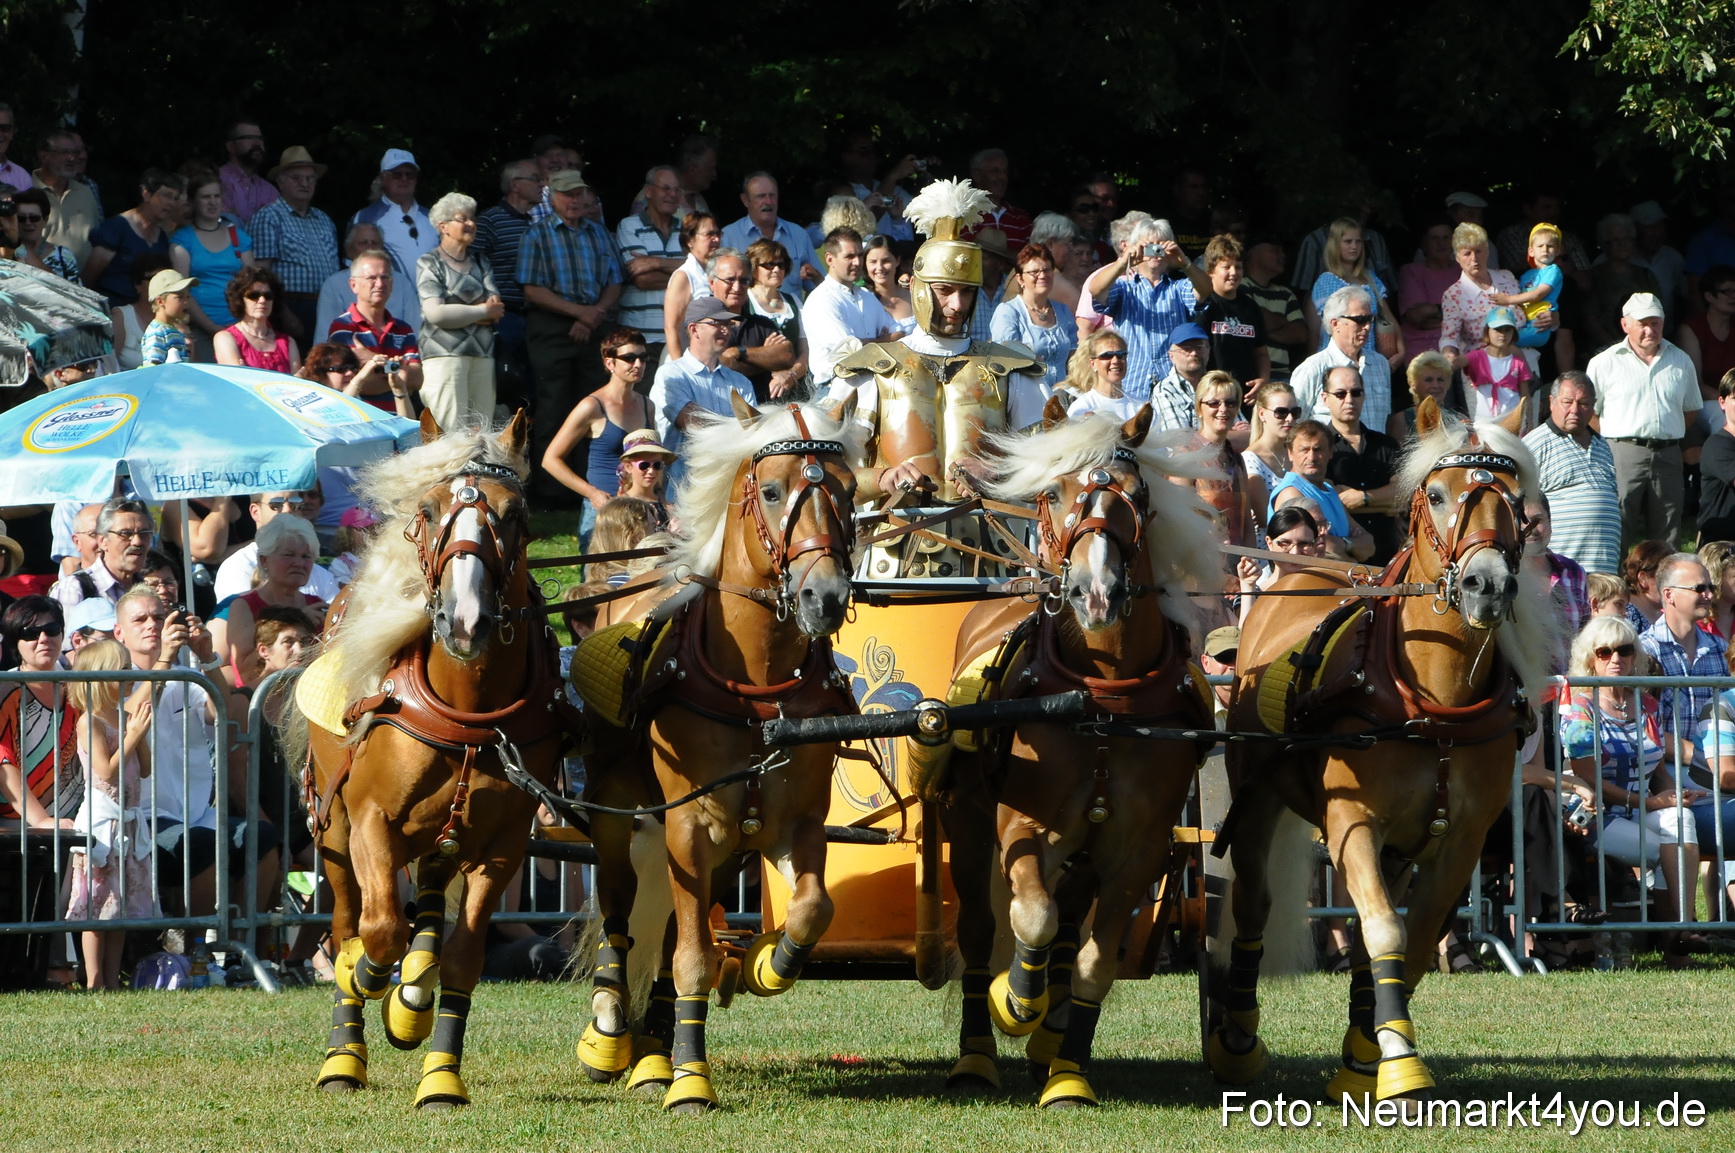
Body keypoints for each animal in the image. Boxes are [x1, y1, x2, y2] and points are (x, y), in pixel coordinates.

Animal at [281, 412, 573, 1109]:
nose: (465, 620)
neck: (467, 708)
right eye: (430, 508)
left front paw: (440, 1072)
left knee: (433, 898)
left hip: (444, 833)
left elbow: (462, 956)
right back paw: (345, 1055)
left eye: (515, 513)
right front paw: (369, 987)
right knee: (349, 920)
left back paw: (412, 993)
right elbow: (379, 931)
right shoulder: (369, 823)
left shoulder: (501, 846)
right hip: (334, 837)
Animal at [570, 394, 864, 1113]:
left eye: (847, 491)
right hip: (618, 810)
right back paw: (612, 1030)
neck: (756, 689)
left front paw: (766, 964)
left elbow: (814, 908)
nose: (825, 596)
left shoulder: (796, 823)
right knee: (620, 909)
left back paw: (652, 1045)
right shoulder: (688, 827)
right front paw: (690, 1077)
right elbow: (692, 957)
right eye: (772, 489)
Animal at [905, 399, 1223, 1107]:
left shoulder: (1139, 847)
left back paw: (1049, 1045)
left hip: (1086, 851)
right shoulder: (1024, 824)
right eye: (1054, 492)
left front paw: (1069, 1073)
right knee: (980, 930)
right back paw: (977, 1056)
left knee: (1072, 929)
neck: (1100, 699)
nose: (1094, 593)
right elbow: (1032, 919)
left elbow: (1093, 962)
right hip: (969, 823)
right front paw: (1014, 999)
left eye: (1138, 495)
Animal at [1206, 398, 1555, 1104]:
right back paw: (1236, 1042)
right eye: (1438, 494)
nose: (1487, 586)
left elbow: (1411, 942)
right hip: (1256, 801)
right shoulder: (1352, 823)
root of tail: (1300, 568)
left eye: (1515, 500)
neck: (1432, 704)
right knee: (1254, 906)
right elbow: (1385, 928)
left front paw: (1375, 1051)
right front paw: (1400, 1063)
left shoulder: (1459, 840)